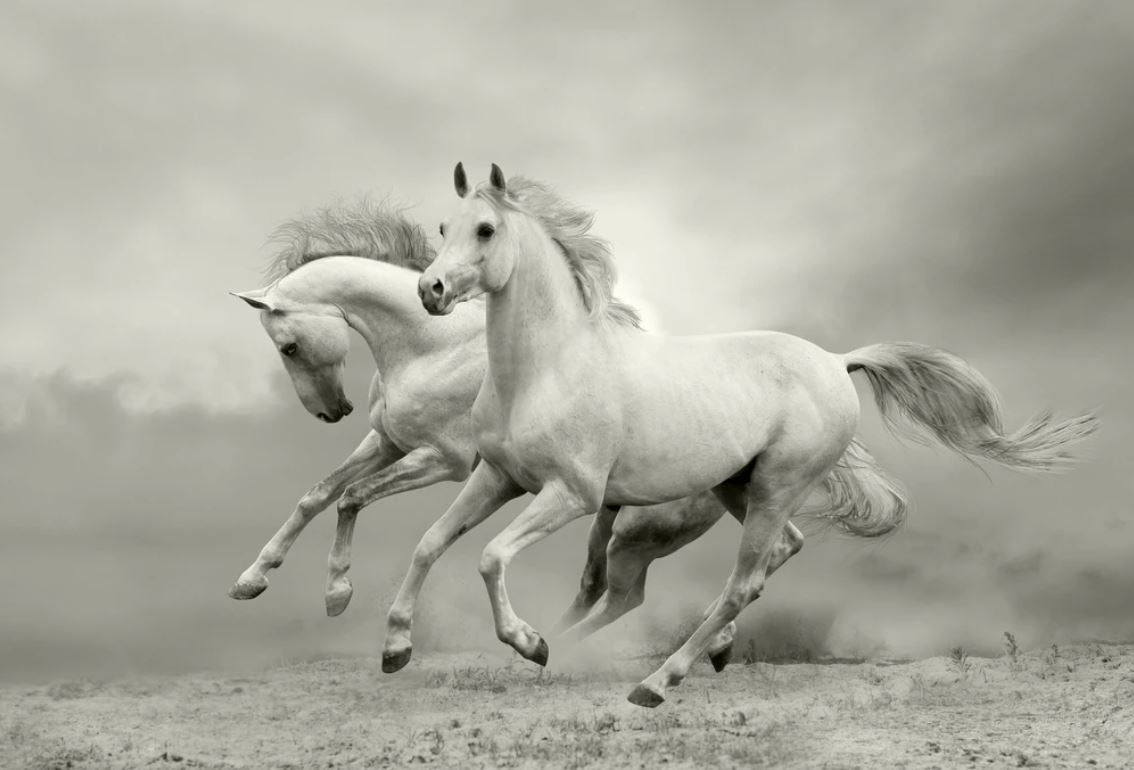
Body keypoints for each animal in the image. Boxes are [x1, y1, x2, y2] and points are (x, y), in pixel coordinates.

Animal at [408, 163, 1098, 707]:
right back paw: (670, 652)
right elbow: (430, 544)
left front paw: (529, 643)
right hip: (739, 488)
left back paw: (657, 681)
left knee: (738, 582)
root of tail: (837, 361)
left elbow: (490, 556)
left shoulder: (571, 494)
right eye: (443, 228)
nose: (429, 289)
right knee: (776, 554)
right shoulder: (499, 478)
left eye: (485, 230)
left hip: (770, 489)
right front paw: (396, 647)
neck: (547, 367)